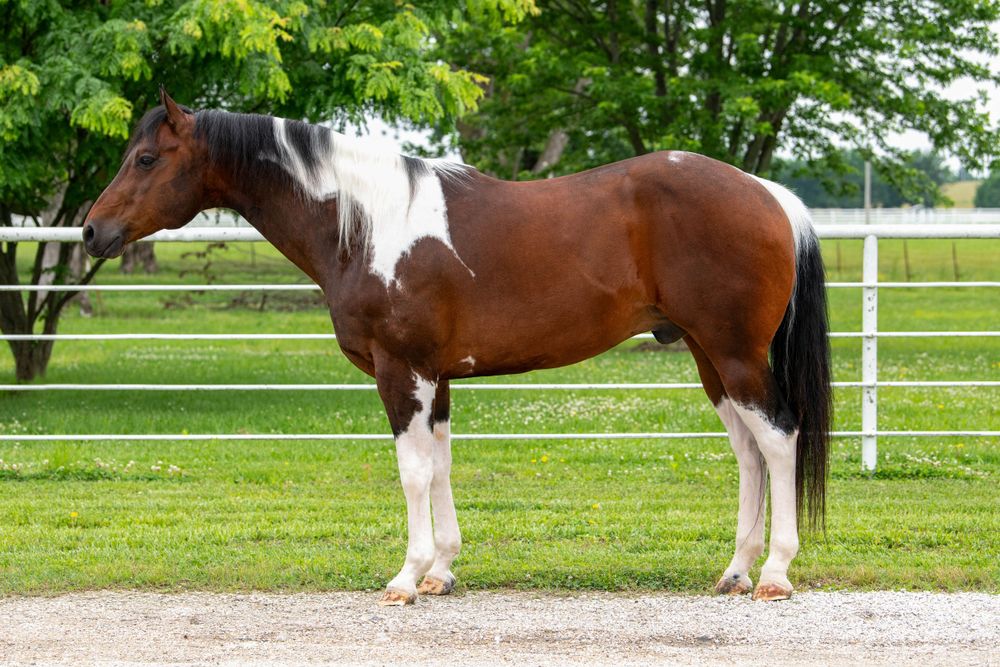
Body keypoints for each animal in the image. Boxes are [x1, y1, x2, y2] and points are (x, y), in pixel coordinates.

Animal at [83, 89, 832, 605]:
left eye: (146, 158)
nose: (92, 231)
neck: (366, 223)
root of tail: (769, 194)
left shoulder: (402, 371)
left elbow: (412, 471)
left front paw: (405, 577)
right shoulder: (435, 379)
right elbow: (440, 465)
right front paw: (441, 570)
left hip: (735, 354)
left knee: (777, 438)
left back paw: (774, 573)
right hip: (710, 358)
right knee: (748, 452)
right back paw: (735, 570)